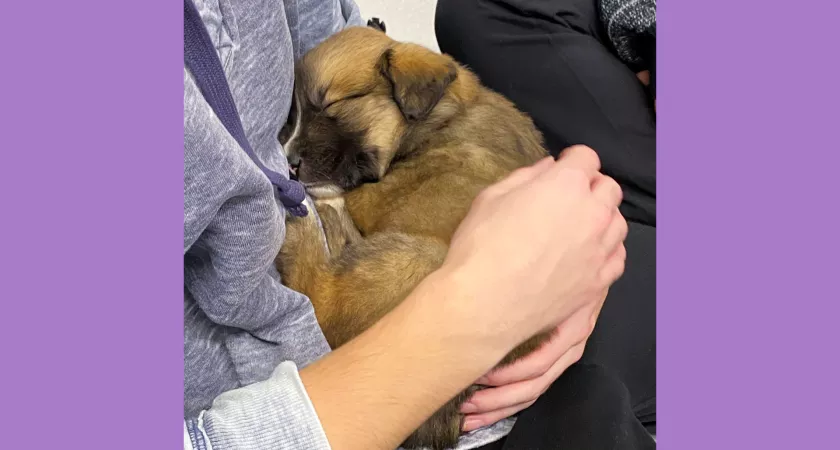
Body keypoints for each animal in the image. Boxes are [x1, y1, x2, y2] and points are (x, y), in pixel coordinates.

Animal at [278, 24, 552, 450]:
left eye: (331, 105)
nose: (288, 163)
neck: (442, 117)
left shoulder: (374, 196)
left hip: (418, 258)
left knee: (319, 294)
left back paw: (307, 220)